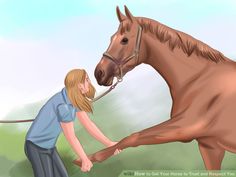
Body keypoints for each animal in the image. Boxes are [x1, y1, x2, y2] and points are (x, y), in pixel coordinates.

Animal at [74, 5, 236, 169]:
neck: (199, 78)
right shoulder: (209, 146)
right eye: (111, 38)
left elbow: (133, 137)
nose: (99, 73)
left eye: (124, 40)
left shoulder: (184, 127)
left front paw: (88, 159)